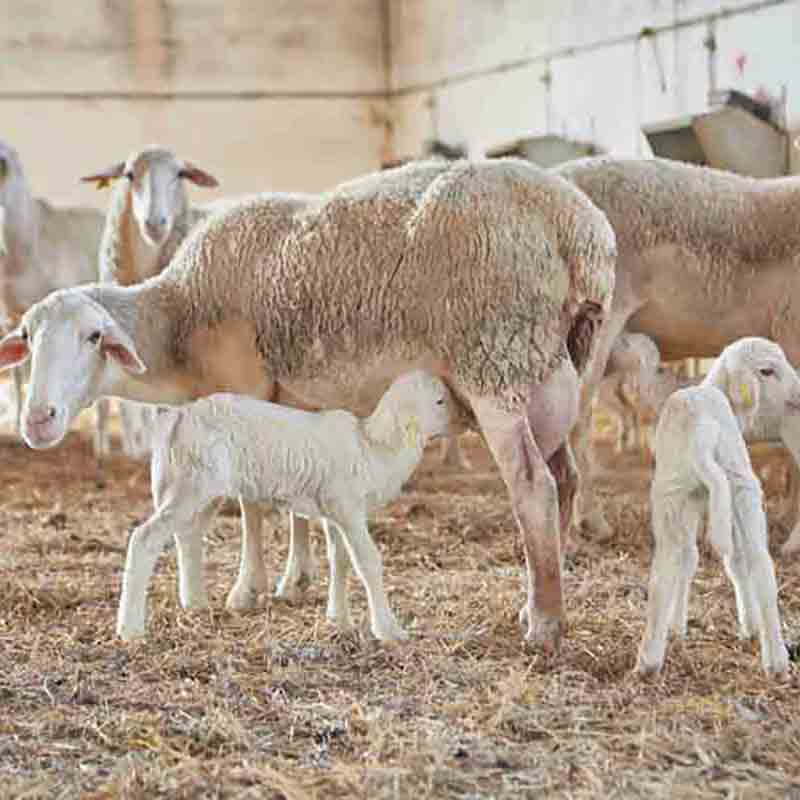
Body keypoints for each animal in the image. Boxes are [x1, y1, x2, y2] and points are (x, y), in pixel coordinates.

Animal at [117, 370, 453, 641]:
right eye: (439, 401)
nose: (459, 422)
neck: (374, 447)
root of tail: (179, 417)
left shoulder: (334, 514)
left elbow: (339, 560)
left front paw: (339, 620)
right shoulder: (347, 507)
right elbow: (368, 561)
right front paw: (389, 630)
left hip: (198, 490)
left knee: (187, 535)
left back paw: (195, 604)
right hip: (191, 486)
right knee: (145, 539)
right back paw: (130, 629)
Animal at [637, 337, 795, 678]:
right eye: (767, 371)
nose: (798, 394)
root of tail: (702, 430)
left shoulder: (694, 497)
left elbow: (688, 558)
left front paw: (677, 626)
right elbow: (736, 560)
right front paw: (750, 626)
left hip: (667, 492)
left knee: (663, 567)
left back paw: (648, 660)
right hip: (741, 483)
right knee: (759, 561)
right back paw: (776, 660)